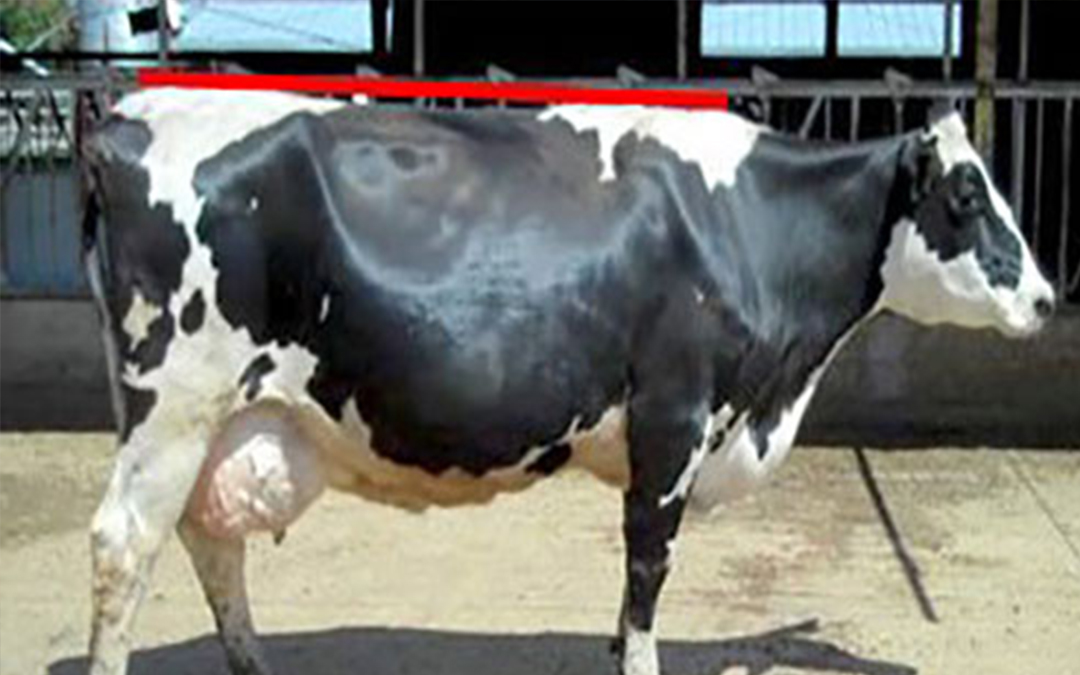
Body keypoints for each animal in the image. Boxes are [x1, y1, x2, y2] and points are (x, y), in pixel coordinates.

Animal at [81, 88, 1054, 675]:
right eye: (967, 199)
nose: (1046, 298)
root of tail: (130, 113)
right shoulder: (673, 415)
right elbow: (647, 565)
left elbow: (631, 590)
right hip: (176, 403)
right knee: (125, 544)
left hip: (219, 417)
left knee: (209, 539)